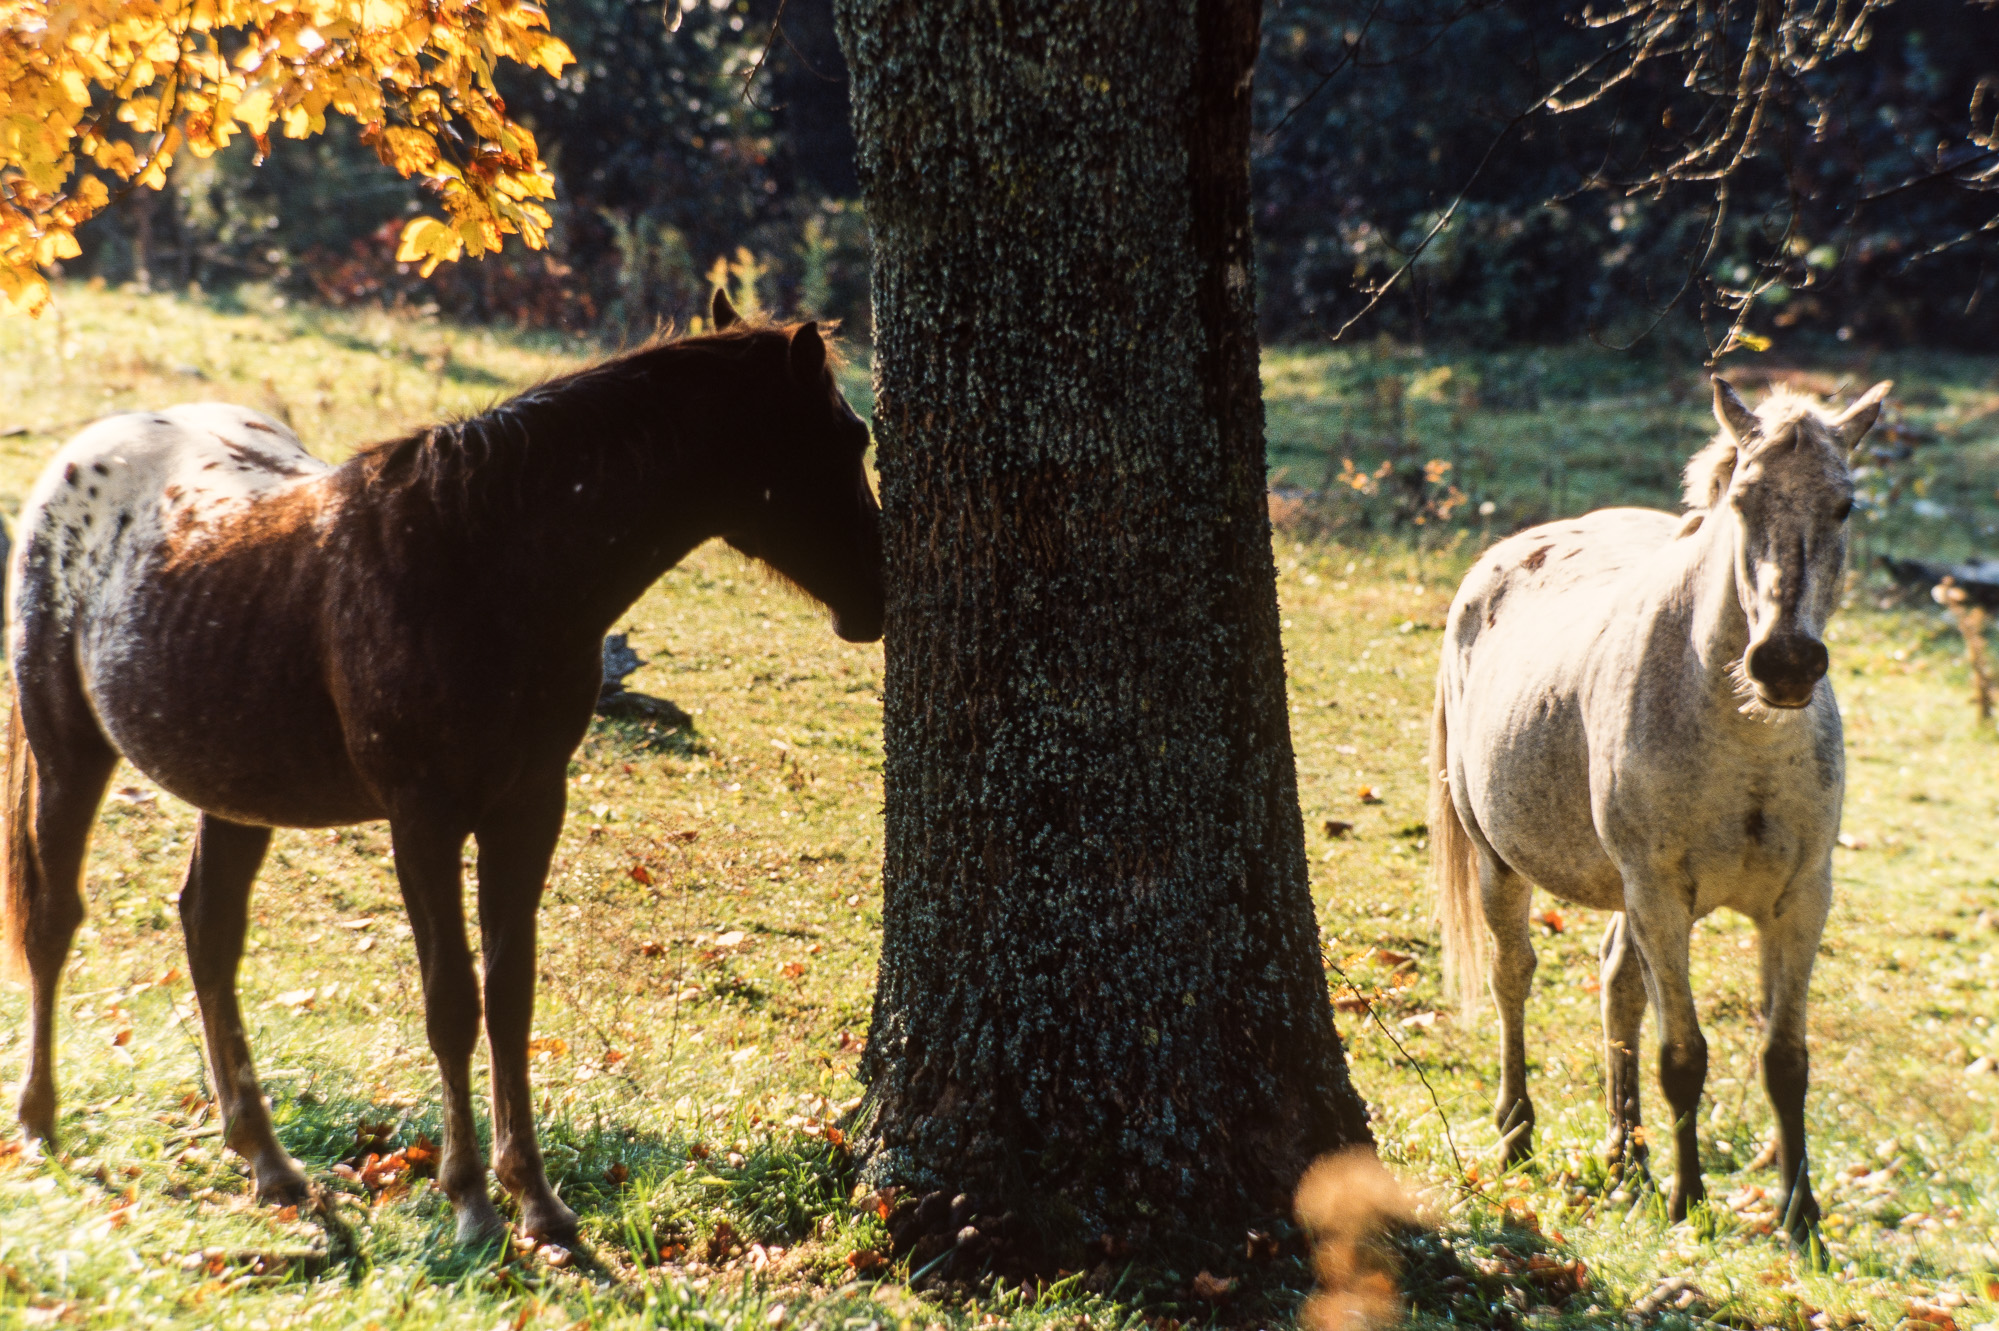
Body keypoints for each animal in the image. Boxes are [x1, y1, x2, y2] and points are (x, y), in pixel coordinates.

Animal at [1, 293, 883, 1247]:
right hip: (68, 749)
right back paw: (41, 1120)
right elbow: (452, 1000)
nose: (878, 596)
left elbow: (511, 995)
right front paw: (470, 1202)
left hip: (231, 786)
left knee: (209, 931)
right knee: (54, 919)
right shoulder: (422, 817)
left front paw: (539, 1200)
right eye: (848, 437)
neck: (482, 563)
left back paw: (267, 1160)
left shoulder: (529, 807)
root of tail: (81, 461)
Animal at [1431, 373, 1879, 1231]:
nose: (1784, 662)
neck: (1742, 738)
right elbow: (1684, 1055)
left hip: (1628, 894)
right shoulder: (1660, 894)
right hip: (1503, 863)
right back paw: (1517, 1136)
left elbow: (1784, 1059)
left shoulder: (1801, 899)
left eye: (1844, 505)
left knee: (1617, 987)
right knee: (1513, 977)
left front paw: (1799, 1218)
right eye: (1741, 499)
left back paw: (1624, 1156)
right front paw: (1687, 1200)